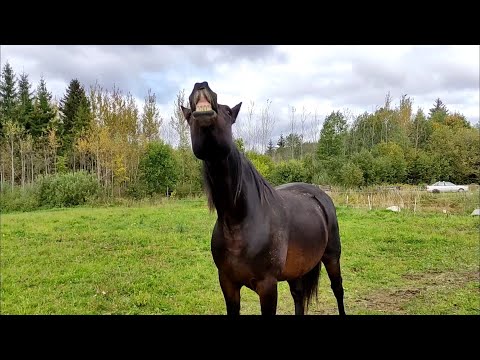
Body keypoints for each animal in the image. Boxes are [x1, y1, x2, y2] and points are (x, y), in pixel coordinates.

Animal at [182, 81, 346, 316]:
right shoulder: (228, 284)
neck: (238, 223)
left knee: (338, 289)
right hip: (297, 269)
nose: (201, 85)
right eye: (188, 118)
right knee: (298, 296)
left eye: (228, 112)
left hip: (332, 256)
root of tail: (320, 195)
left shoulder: (267, 286)